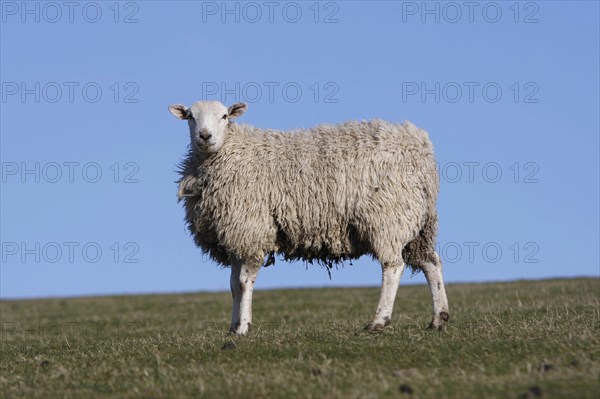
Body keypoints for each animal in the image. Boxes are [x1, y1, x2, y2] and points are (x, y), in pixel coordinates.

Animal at [166, 100, 448, 334]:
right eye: (190, 117)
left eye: (224, 116)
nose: (205, 136)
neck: (228, 152)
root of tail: (418, 144)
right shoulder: (234, 236)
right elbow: (234, 285)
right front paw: (233, 328)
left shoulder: (251, 229)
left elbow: (245, 283)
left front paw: (243, 328)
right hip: (418, 222)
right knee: (431, 262)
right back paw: (439, 318)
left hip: (387, 215)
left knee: (394, 266)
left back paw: (379, 321)